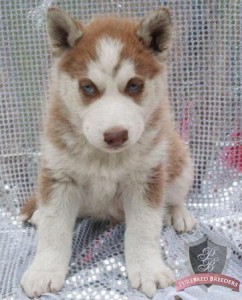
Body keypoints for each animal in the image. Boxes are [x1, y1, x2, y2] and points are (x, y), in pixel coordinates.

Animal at [19, 7, 196, 298]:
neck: (105, 159)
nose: (116, 135)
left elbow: (144, 228)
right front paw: (44, 270)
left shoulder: (146, 178)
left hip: (180, 159)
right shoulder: (59, 177)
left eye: (134, 85)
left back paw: (178, 213)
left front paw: (147, 268)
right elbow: (54, 229)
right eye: (88, 87)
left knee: (176, 194)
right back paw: (39, 213)